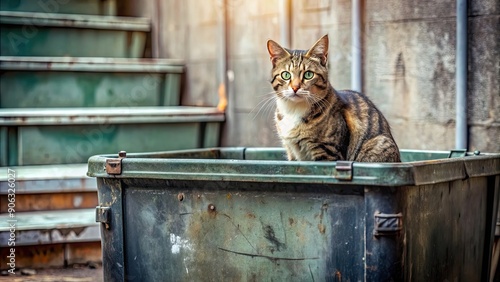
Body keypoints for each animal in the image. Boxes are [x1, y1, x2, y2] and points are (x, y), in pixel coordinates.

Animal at [268, 34, 400, 163]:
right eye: (286, 75)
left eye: (308, 74)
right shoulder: (292, 152)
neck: (294, 110)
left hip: (379, 143)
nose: (295, 87)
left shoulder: (328, 151)